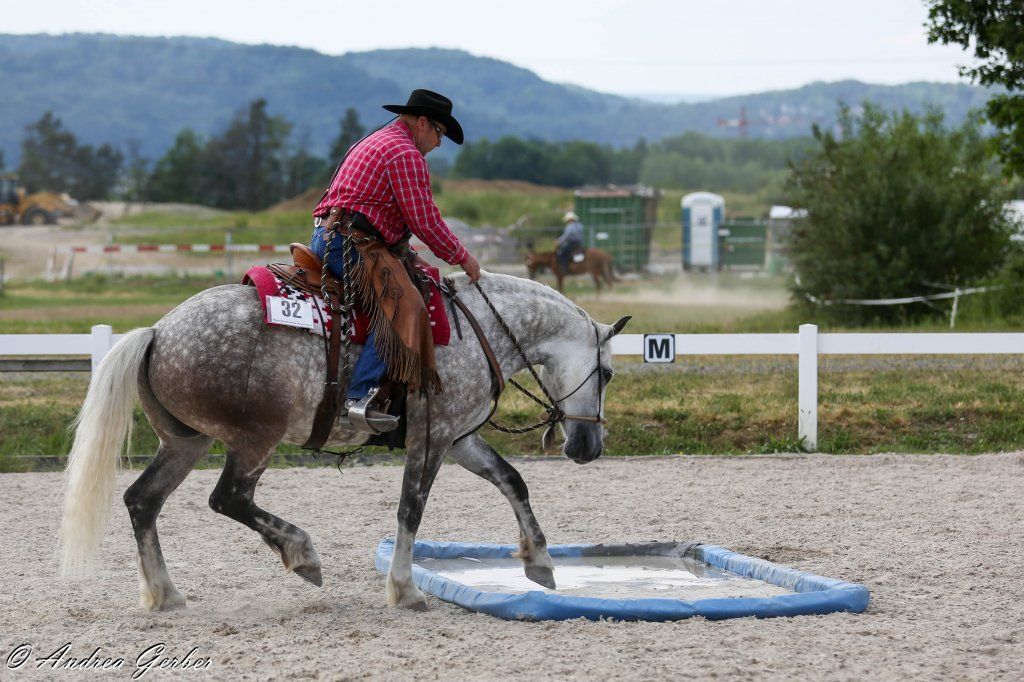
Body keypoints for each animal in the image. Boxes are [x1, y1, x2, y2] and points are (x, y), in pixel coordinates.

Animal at [60, 272, 630, 611]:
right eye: (606, 373)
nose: (588, 447)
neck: (478, 328)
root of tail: (157, 332)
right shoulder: (432, 438)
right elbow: (410, 510)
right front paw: (403, 588)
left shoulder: (459, 437)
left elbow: (512, 481)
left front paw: (540, 562)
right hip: (255, 440)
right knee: (229, 498)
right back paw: (301, 552)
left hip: (185, 443)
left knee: (143, 500)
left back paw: (164, 593)